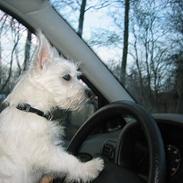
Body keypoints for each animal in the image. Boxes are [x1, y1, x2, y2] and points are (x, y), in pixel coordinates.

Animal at [0, 32, 103, 182]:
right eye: (66, 77)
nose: (90, 93)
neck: (31, 109)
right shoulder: (44, 152)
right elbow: (68, 160)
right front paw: (88, 167)